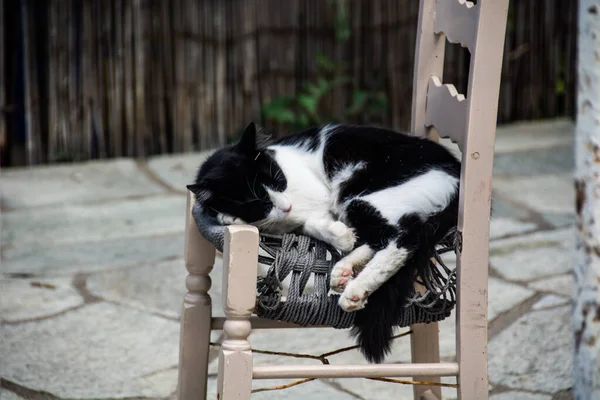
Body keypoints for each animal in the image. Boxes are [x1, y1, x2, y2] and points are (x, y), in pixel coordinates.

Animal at [188, 122, 460, 362]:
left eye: (278, 180)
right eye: (258, 202)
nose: (286, 206)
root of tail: (457, 175)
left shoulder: (319, 200)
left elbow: (308, 220)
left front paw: (340, 236)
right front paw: (230, 216)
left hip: (357, 195)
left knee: (404, 238)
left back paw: (355, 290)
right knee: (380, 237)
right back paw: (344, 271)